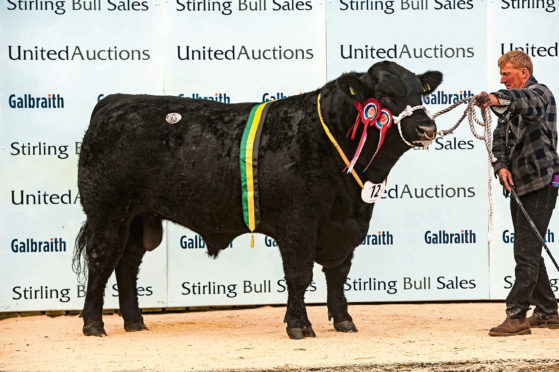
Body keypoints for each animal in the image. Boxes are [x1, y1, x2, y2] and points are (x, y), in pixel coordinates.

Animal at [73, 61, 442, 340]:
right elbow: (299, 275)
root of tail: (115, 101)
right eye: (384, 95)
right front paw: (299, 326)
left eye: (419, 92)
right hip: (108, 212)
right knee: (102, 259)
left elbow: (338, 274)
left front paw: (344, 321)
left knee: (127, 263)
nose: (427, 127)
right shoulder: (298, 222)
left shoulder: (347, 223)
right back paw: (93, 324)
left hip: (139, 217)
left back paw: (135, 322)